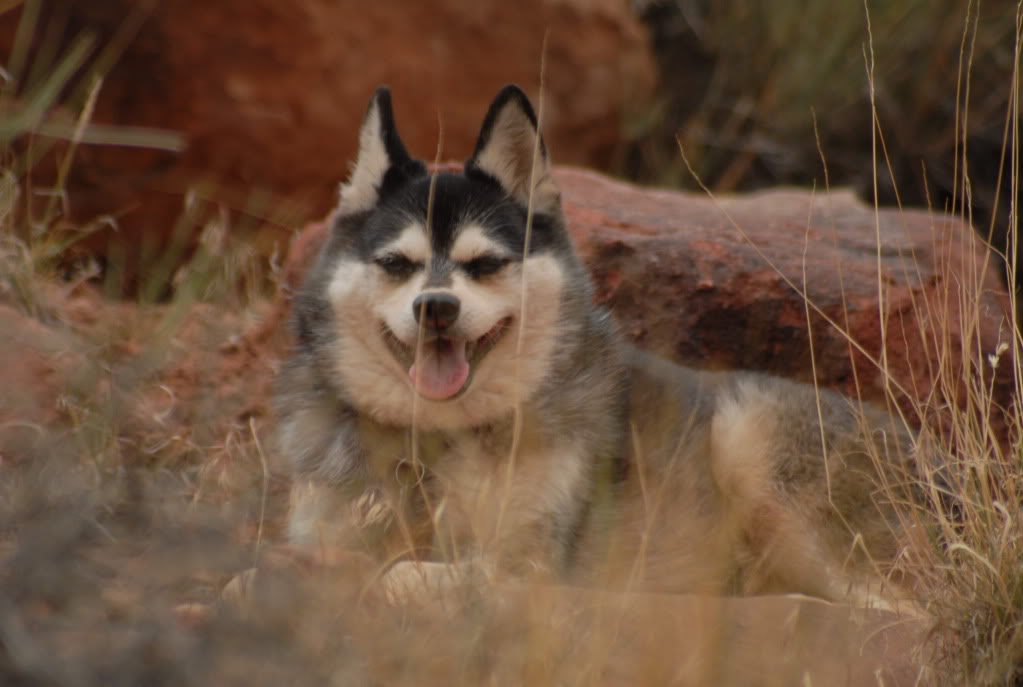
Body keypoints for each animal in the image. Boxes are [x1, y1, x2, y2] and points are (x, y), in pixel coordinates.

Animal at [274, 83, 920, 605]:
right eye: (395, 264)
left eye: (485, 264)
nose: (435, 307)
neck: (442, 438)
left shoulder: (529, 566)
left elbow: (400, 573)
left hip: (753, 448)